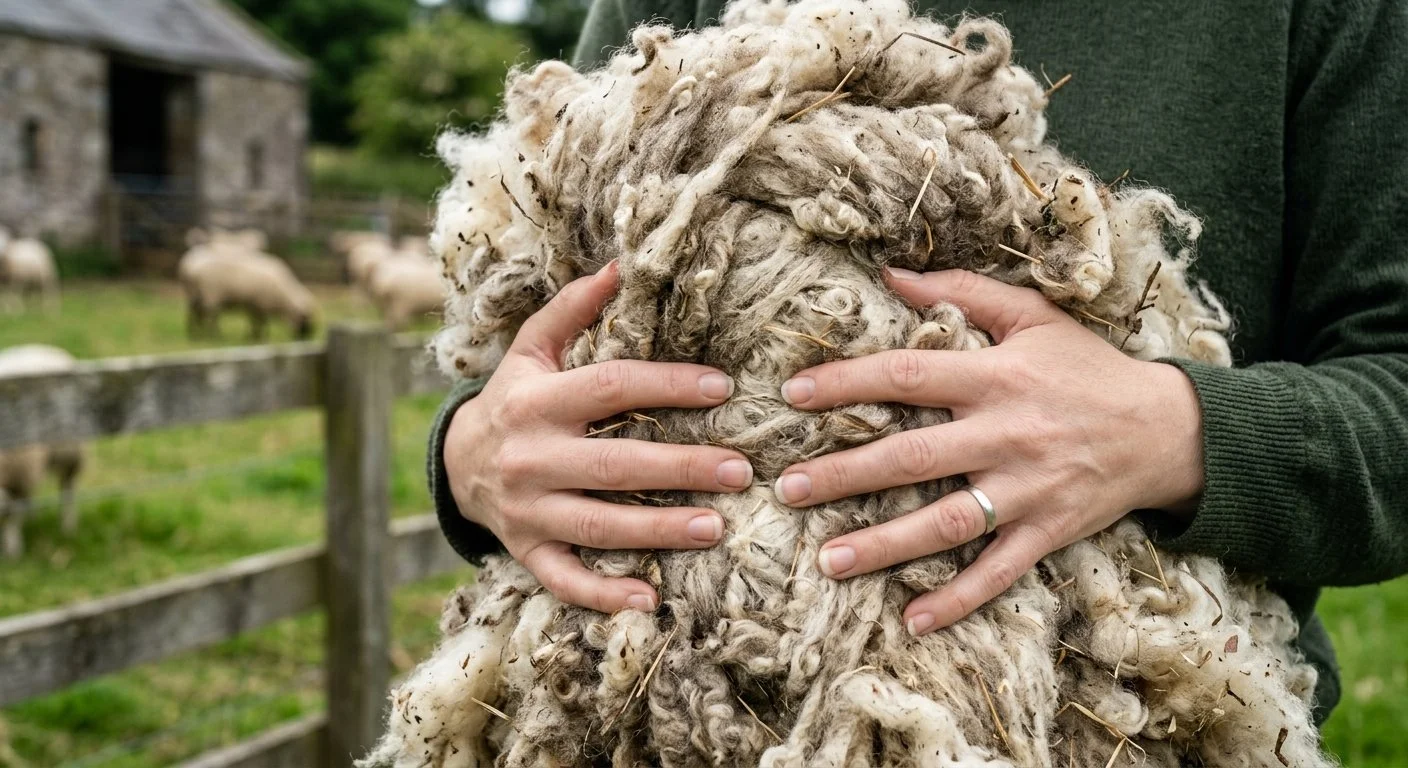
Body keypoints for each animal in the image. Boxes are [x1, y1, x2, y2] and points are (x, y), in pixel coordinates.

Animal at [0, 345, 85, 558]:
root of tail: (52, 350)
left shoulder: (18, 476)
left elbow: (13, 516)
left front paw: (13, 549)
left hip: (69, 453)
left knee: (67, 488)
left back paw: (68, 526)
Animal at [178, 247, 318, 340]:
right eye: (305, 320)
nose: (304, 340)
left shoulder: (254, 305)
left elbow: (255, 322)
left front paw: (252, 336)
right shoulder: (262, 304)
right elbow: (261, 323)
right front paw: (261, 337)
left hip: (195, 295)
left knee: (193, 313)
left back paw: (194, 334)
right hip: (211, 295)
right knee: (211, 316)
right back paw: (214, 335)